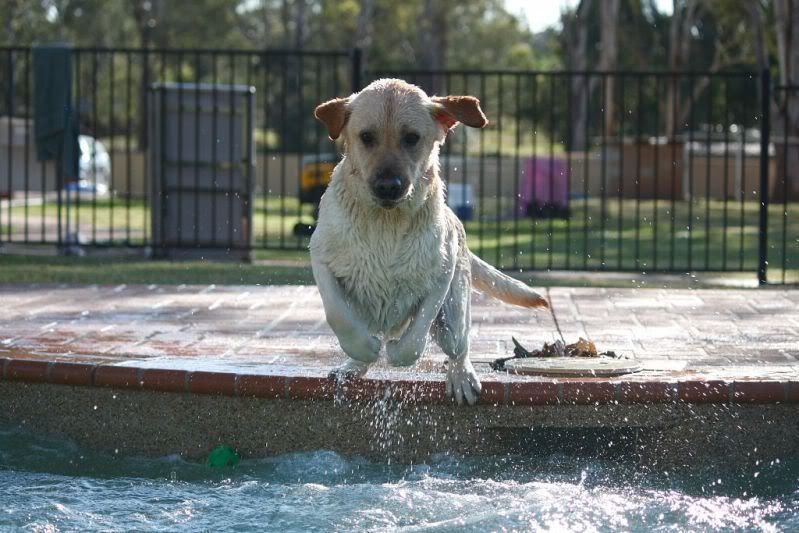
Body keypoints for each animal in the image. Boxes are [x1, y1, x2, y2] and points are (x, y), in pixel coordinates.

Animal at [310, 78, 552, 404]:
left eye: (411, 138)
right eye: (367, 137)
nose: (388, 187)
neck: (385, 222)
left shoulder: (441, 273)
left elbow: (417, 333)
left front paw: (398, 353)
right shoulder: (321, 257)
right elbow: (337, 314)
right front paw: (362, 348)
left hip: (455, 307)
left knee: (458, 345)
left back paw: (461, 376)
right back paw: (353, 366)